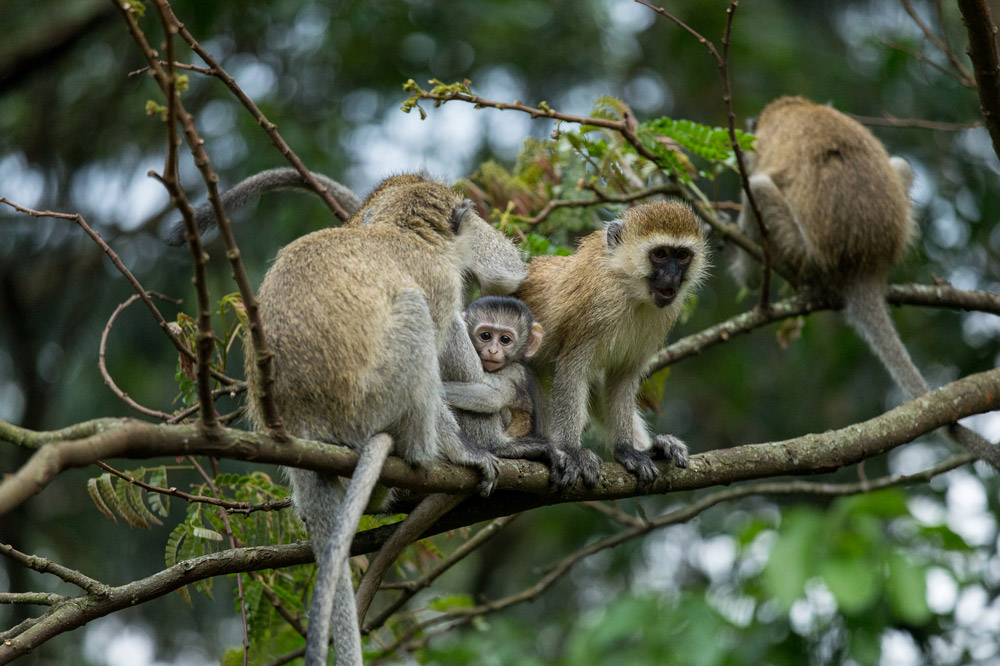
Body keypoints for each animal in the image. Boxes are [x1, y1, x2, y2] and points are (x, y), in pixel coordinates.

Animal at [239, 175, 528, 666]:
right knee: (419, 316)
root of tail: (301, 422)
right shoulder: (438, 281)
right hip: (374, 401)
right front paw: (465, 453)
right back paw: (444, 451)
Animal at [513, 200, 710, 491]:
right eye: (660, 254)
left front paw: (628, 449)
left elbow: (622, 378)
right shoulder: (595, 306)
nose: (672, 275)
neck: (628, 286)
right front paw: (571, 451)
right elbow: (572, 370)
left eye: (682, 255)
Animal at [731, 95, 1000, 469]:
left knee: (755, 187)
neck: (796, 106)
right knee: (900, 166)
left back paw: (750, 275)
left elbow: (753, 174)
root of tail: (865, 264)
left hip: (802, 252)